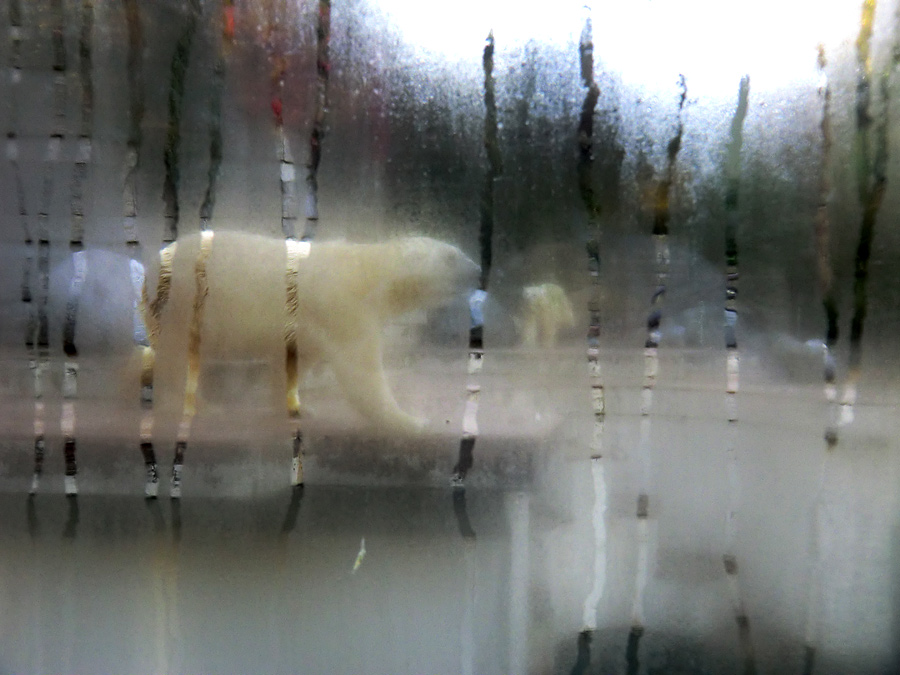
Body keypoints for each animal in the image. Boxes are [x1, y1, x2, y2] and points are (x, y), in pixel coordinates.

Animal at [144, 232, 482, 434]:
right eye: (451, 257)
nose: (478, 269)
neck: (369, 270)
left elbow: (292, 361)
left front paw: (300, 409)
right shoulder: (343, 305)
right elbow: (361, 371)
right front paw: (413, 421)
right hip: (184, 303)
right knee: (176, 359)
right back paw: (204, 407)